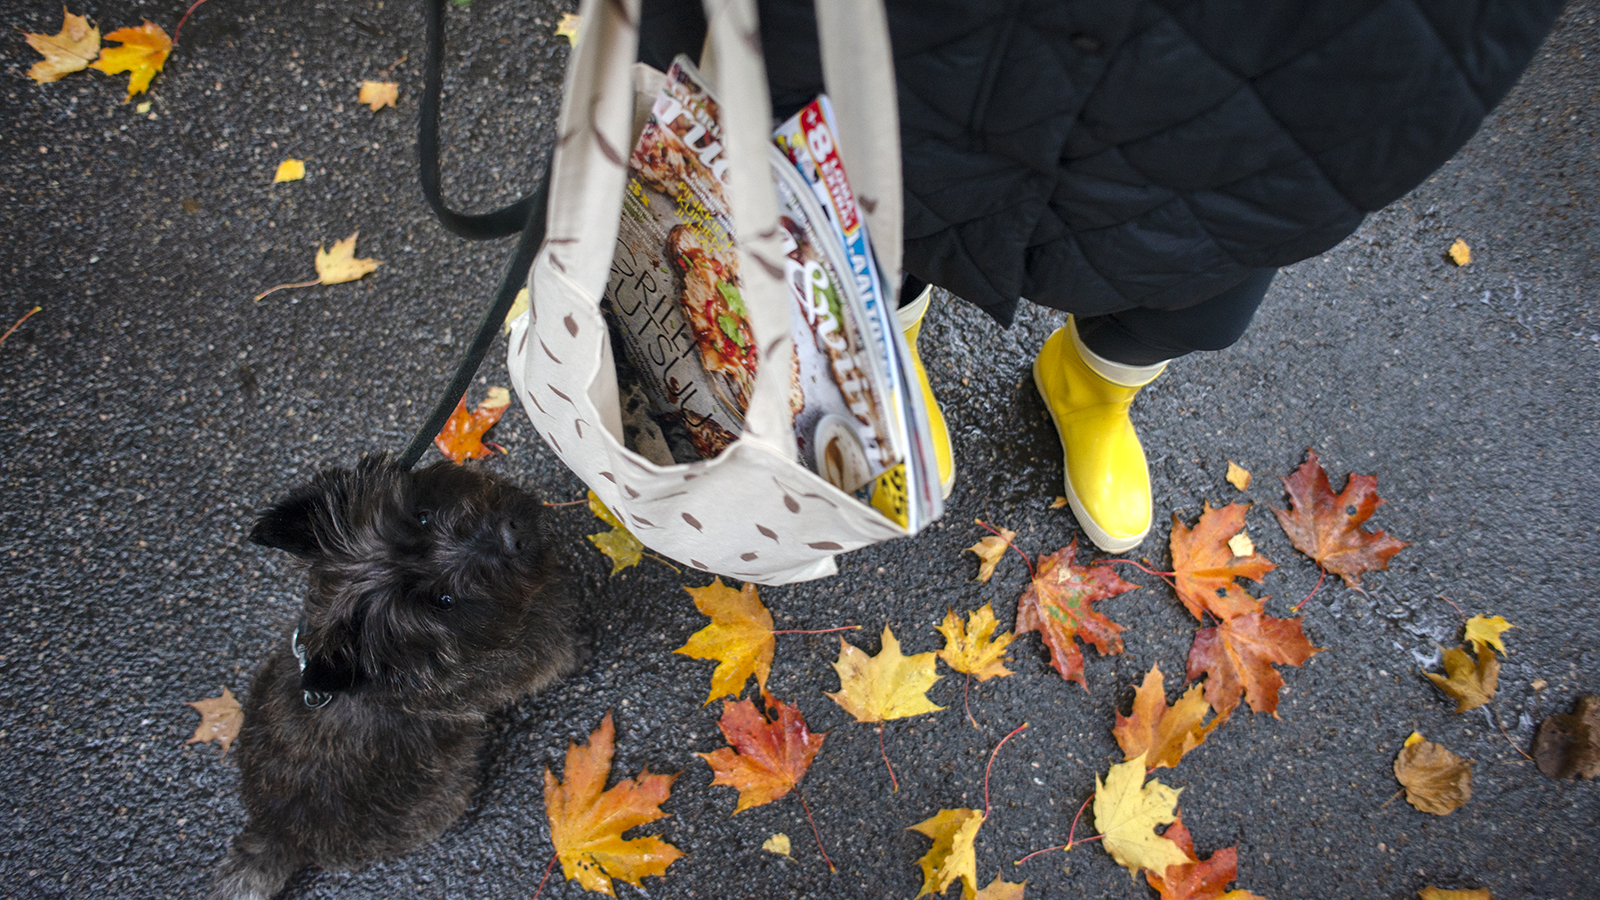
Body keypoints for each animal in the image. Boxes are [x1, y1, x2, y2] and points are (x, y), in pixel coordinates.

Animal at [209, 454, 585, 896]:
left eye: (422, 517)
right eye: (444, 601)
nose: (510, 533)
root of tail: (274, 831)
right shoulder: (526, 661)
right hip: (442, 797)